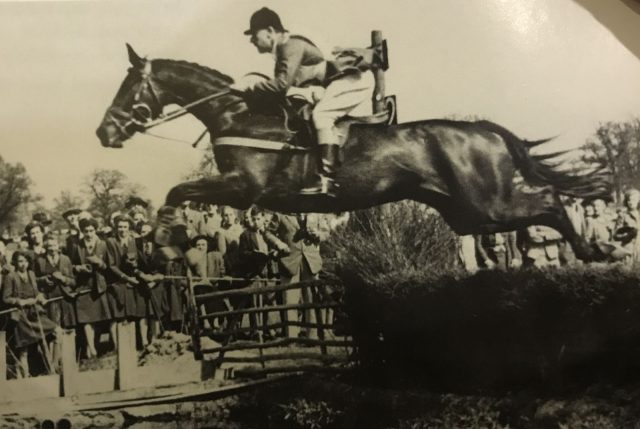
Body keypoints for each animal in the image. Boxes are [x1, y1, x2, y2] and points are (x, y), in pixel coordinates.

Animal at [97, 46, 612, 260]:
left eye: (128, 86)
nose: (105, 132)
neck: (237, 114)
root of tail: (482, 128)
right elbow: (179, 191)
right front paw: (168, 241)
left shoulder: (244, 189)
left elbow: (177, 191)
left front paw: (164, 241)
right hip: (469, 215)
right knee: (541, 204)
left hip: (487, 203)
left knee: (551, 200)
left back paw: (593, 249)